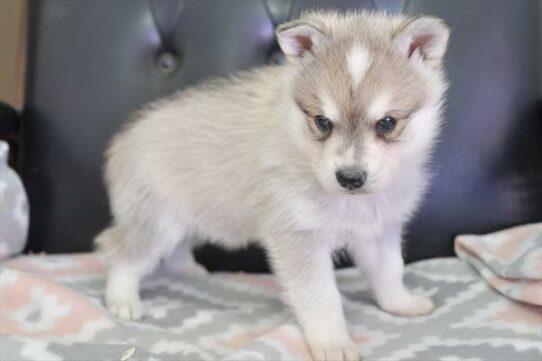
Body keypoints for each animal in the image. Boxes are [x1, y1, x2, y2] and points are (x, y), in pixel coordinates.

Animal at [96, 10, 450, 360]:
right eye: (322, 121)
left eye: (387, 123)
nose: (350, 178)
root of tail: (122, 140)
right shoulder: (298, 235)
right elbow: (321, 297)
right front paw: (332, 342)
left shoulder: (378, 230)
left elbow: (390, 272)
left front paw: (402, 304)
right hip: (157, 222)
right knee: (121, 253)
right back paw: (123, 300)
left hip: (190, 218)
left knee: (175, 249)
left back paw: (188, 271)